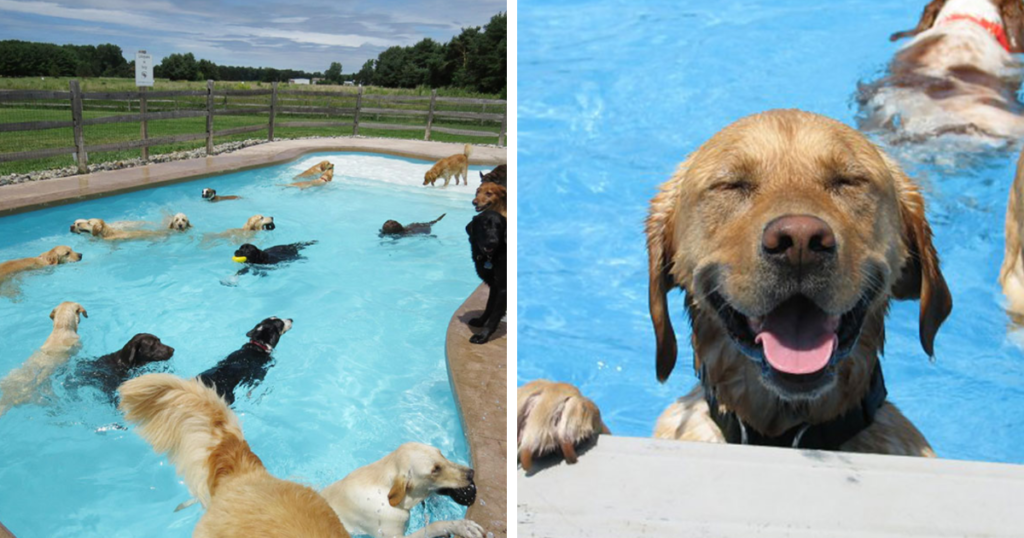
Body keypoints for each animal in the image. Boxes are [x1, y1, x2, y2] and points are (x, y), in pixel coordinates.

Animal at [468, 210, 507, 344]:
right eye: (484, 225)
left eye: (500, 227)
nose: (493, 242)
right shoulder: (494, 286)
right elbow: (489, 306)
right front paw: (480, 321)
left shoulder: (503, 288)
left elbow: (495, 314)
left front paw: (483, 336)